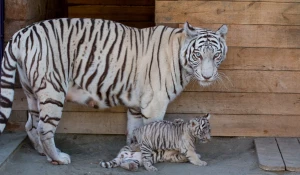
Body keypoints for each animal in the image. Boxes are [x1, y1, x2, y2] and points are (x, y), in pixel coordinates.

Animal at [0, 18, 226, 165]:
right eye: (197, 56)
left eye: (216, 56)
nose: (207, 76)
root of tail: (21, 33)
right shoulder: (155, 104)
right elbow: (156, 132)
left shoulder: (137, 105)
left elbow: (135, 131)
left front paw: (133, 152)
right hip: (52, 90)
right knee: (44, 128)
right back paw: (58, 158)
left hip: (31, 92)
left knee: (31, 124)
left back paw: (43, 153)